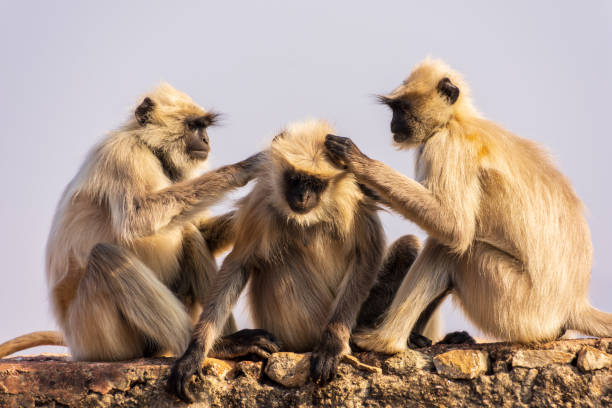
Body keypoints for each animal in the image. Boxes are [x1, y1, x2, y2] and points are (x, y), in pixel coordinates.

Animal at [0, 84, 278, 362]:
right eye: (193, 126)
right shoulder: (123, 154)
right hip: (99, 336)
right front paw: (247, 167)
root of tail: (74, 343)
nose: (206, 141)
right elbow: (138, 219)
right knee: (106, 256)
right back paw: (221, 346)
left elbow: (201, 230)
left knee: (189, 234)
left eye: (204, 127)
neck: (148, 147)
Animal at [165, 118, 430, 402]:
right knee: (281, 258)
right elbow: (239, 264)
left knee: (408, 246)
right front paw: (194, 353)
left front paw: (332, 344)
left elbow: (367, 255)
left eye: (315, 184)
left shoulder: (353, 197)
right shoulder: (262, 202)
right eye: (295, 180)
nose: (303, 196)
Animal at [326, 58, 612, 354]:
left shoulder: (446, 145)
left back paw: (384, 341)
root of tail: (573, 304)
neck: (455, 121)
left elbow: (454, 227)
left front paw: (359, 162)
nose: (393, 124)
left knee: (451, 248)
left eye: (401, 110)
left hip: (513, 304)